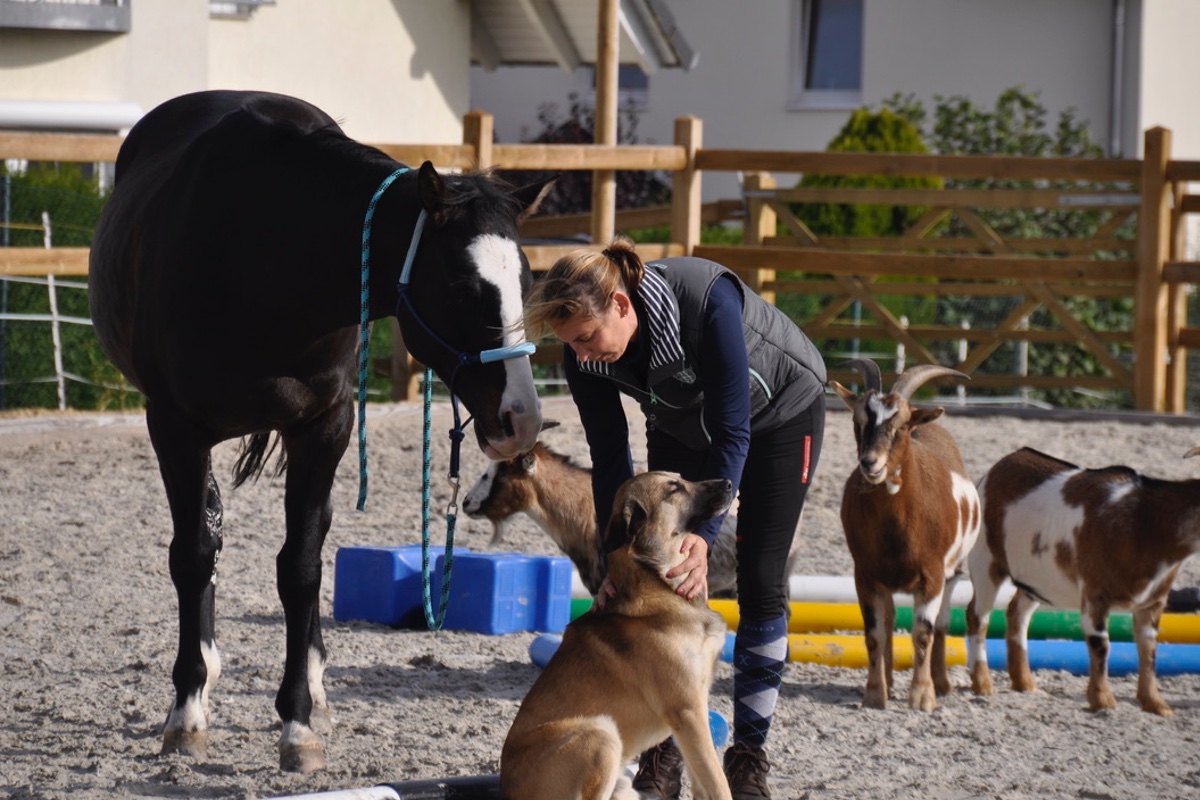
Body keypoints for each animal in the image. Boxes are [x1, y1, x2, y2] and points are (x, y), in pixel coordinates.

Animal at [90, 90, 556, 772]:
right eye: (464, 288)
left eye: (526, 282)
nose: (520, 418)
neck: (265, 253)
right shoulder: (174, 427)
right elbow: (194, 555)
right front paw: (187, 711)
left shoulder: (326, 426)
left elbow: (302, 569)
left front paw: (299, 721)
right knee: (208, 535)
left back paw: (313, 685)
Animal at [501, 472, 734, 800]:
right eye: (673, 488)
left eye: (680, 478)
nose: (728, 483)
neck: (656, 581)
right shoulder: (689, 711)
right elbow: (717, 781)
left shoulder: (691, 716)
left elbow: (703, 781)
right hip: (601, 733)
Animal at [830, 359, 979, 710]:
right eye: (858, 422)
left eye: (899, 426)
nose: (870, 463)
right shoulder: (865, 575)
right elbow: (874, 633)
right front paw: (874, 693)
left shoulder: (933, 575)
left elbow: (923, 633)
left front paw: (923, 696)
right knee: (888, 620)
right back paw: (888, 680)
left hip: (953, 573)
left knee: (941, 624)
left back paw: (941, 683)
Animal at [964, 448, 1200, 714]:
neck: (1143, 523)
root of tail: (1000, 465)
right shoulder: (1095, 595)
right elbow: (1101, 645)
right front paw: (1103, 701)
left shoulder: (1152, 602)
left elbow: (1149, 650)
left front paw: (1156, 704)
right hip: (986, 563)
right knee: (978, 617)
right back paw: (983, 685)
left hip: (1036, 581)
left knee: (1017, 614)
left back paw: (1025, 683)